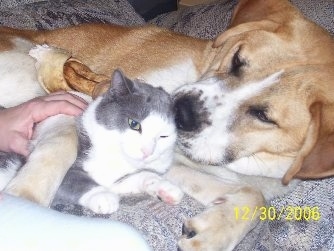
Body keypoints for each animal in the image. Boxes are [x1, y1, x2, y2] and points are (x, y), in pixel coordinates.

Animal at [51, 69, 184, 214]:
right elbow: (74, 179)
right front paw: (103, 196)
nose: (147, 151)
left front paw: (166, 188)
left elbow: (141, 175)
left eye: (164, 136)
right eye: (134, 124)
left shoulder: (116, 181)